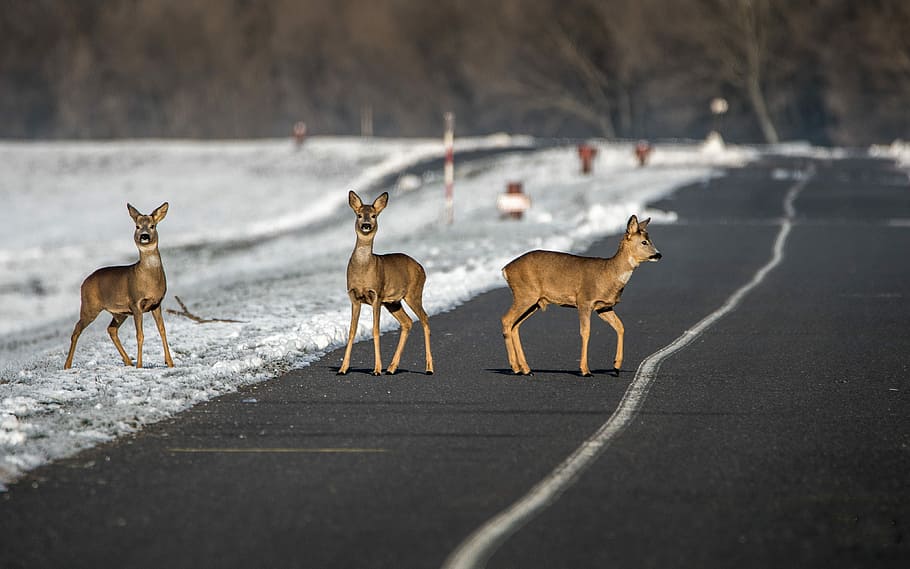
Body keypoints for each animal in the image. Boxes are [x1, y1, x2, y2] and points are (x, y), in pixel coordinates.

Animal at [64, 202, 175, 370]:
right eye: (137, 226)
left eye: (152, 226)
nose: (144, 236)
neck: (148, 281)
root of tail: (84, 283)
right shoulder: (135, 303)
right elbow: (140, 335)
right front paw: (140, 365)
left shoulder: (156, 304)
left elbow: (162, 330)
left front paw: (170, 363)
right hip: (90, 306)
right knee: (76, 330)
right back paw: (67, 365)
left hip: (119, 313)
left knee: (111, 329)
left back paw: (128, 361)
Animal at [338, 190, 434, 376]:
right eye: (359, 215)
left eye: (374, 215)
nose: (366, 225)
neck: (363, 270)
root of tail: (421, 267)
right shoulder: (354, 297)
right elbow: (352, 331)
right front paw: (342, 369)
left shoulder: (377, 295)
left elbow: (375, 330)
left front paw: (376, 369)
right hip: (393, 302)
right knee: (407, 322)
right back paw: (391, 368)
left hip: (413, 293)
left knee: (424, 318)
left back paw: (429, 368)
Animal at [501, 215, 661, 377]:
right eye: (644, 242)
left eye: (649, 239)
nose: (658, 255)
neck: (608, 273)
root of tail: (505, 270)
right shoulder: (584, 300)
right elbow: (586, 332)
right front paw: (585, 370)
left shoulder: (603, 307)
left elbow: (620, 327)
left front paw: (616, 367)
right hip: (525, 294)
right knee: (506, 319)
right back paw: (515, 368)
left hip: (534, 302)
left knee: (515, 325)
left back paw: (526, 369)